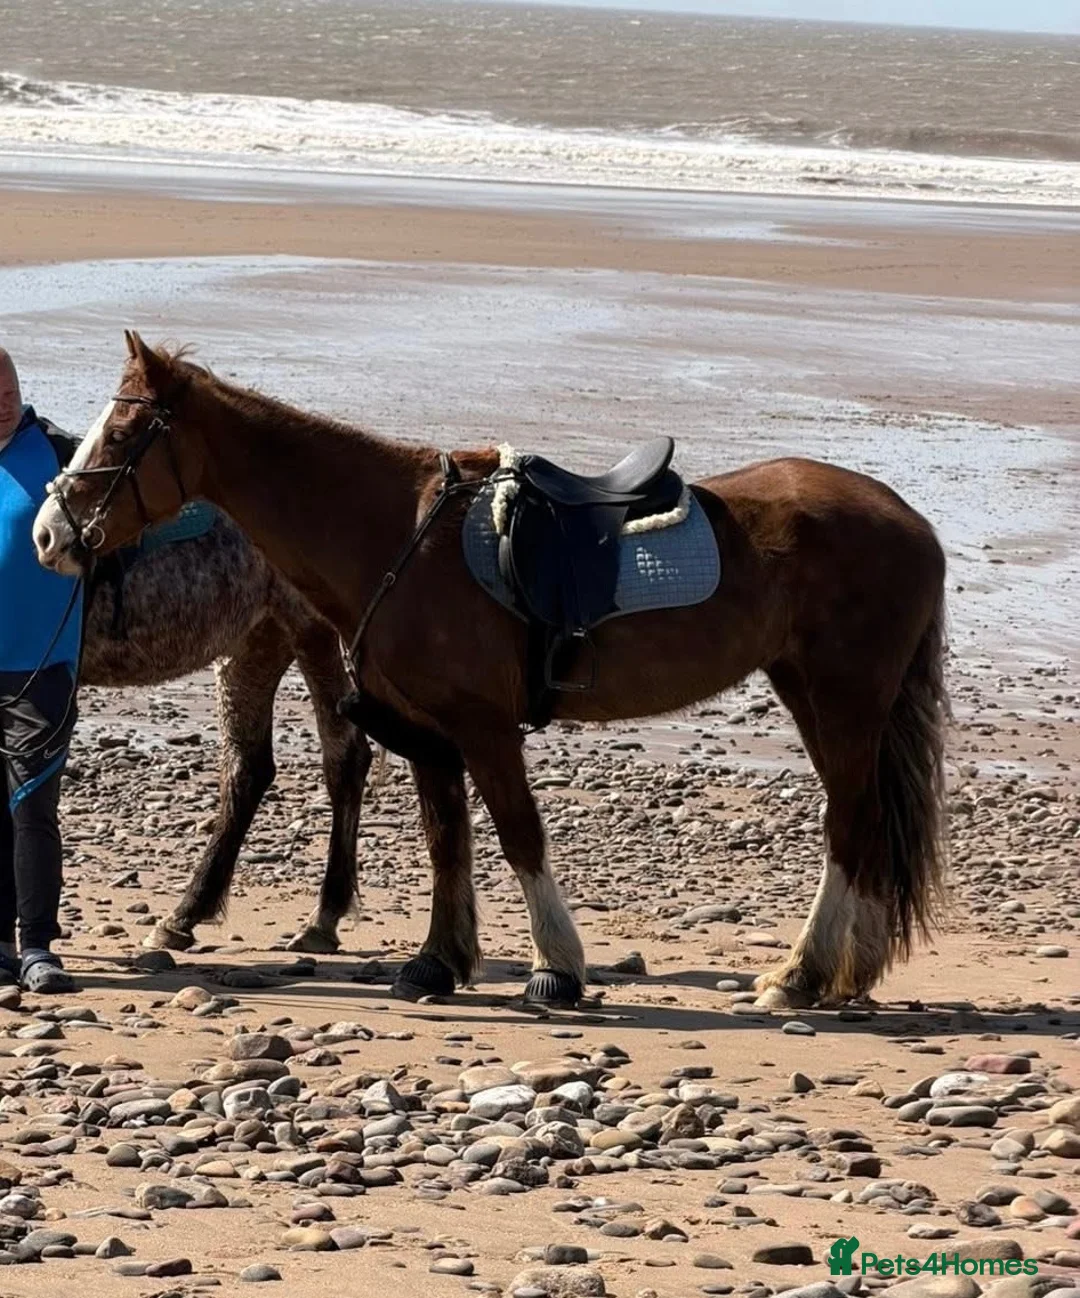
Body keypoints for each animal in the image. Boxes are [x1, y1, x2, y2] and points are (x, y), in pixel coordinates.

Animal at [80, 497, 370, 955]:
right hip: (255, 641)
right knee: (248, 770)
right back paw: (184, 916)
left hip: (310, 629)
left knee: (343, 755)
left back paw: (322, 918)